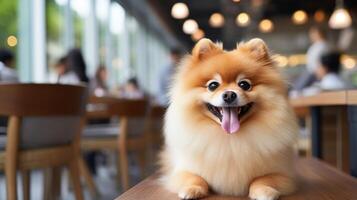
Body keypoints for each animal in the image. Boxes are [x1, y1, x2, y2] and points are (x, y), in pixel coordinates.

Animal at [159, 38, 298, 200]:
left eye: (244, 84)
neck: (229, 140)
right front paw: (192, 189)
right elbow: (195, 177)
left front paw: (264, 190)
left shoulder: (283, 174)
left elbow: (263, 179)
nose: (229, 94)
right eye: (213, 85)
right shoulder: (182, 171)